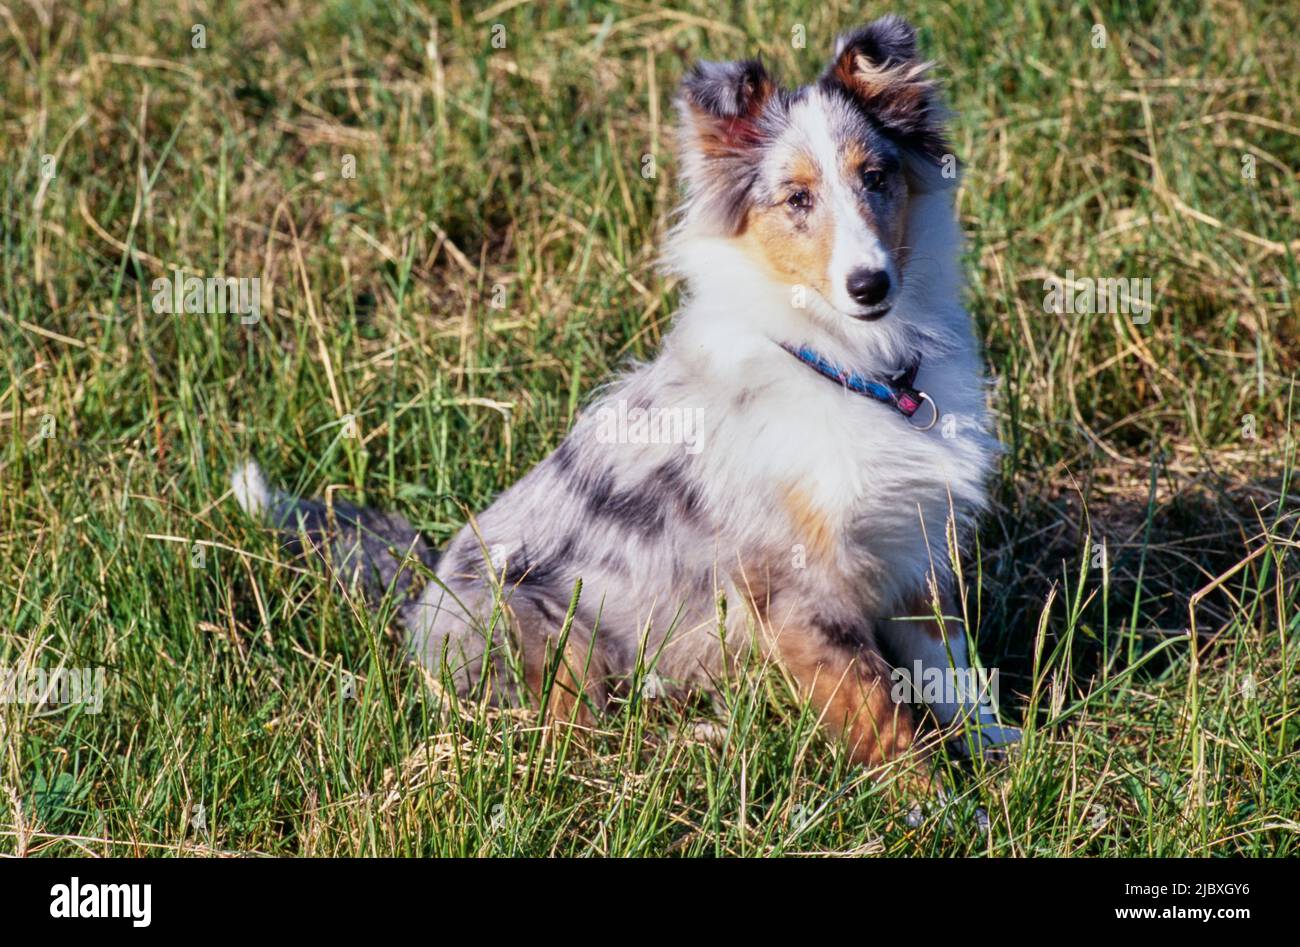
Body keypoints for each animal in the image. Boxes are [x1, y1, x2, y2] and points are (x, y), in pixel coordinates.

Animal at [236, 12, 1024, 785]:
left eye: (877, 177)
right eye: (797, 199)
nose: (869, 285)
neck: (850, 369)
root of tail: (420, 595)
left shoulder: (917, 550)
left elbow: (950, 671)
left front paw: (1003, 754)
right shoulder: (799, 591)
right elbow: (884, 718)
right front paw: (937, 801)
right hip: (552, 637)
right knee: (573, 742)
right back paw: (697, 739)